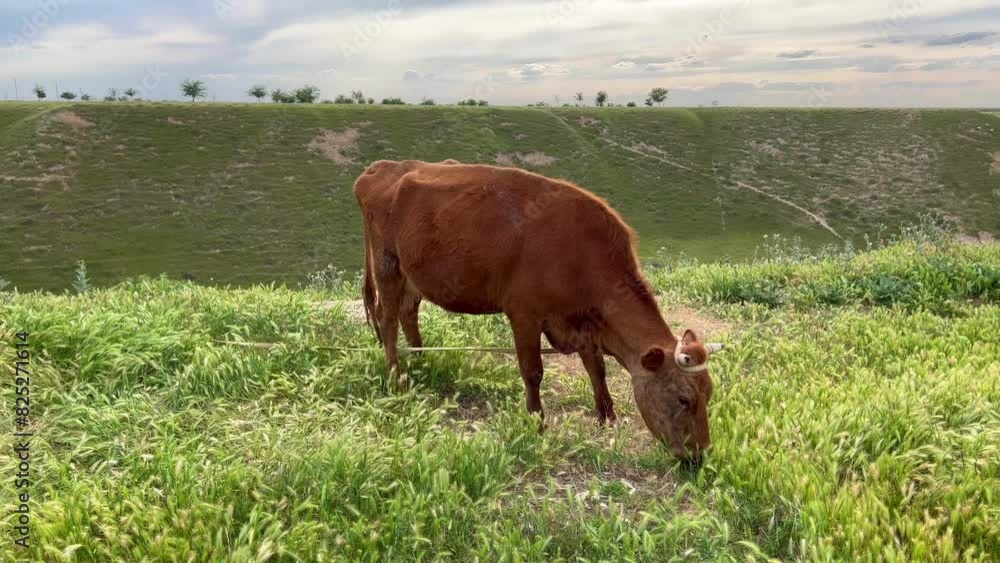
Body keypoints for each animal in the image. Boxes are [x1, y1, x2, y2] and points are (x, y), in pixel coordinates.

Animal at [354, 159, 724, 461]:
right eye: (684, 399)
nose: (700, 455)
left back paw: (421, 361)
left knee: (408, 313)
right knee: (387, 322)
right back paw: (397, 379)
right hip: (388, 265)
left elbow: (597, 369)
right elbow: (533, 372)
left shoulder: (583, 323)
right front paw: (537, 423)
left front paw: (607, 418)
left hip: (412, 275)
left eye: (709, 393)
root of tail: (381, 169)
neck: (583, 255)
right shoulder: (525, 314)